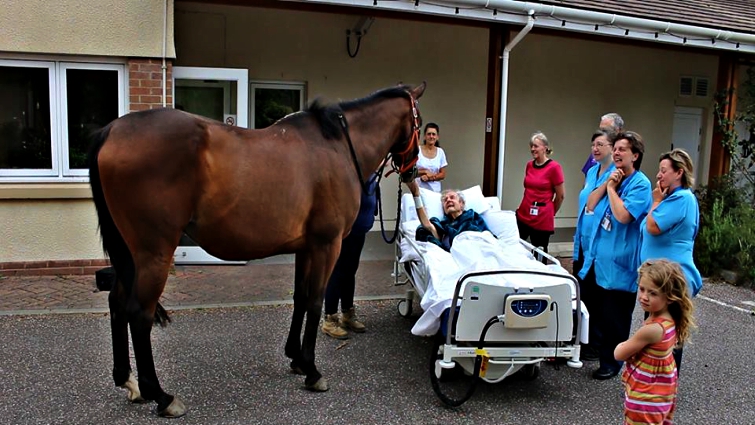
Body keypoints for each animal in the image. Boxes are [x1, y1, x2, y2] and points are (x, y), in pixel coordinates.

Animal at [88, 83, 426, 417]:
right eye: (419, 122)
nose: (414, 170)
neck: (338, 146)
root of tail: (113, 130)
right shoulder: (327, 245)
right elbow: (315, 301)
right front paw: (312, 370)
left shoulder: (306, 248)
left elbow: (301, 298)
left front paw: (296, 358)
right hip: (153, 254)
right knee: (139, 314)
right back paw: (160, 395)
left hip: (129, 256)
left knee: (117, 303)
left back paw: (129, 381)